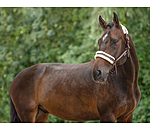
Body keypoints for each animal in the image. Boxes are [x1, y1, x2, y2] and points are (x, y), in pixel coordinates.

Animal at [9, 12, 141, 123]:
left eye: (114, 41)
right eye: (99, 41)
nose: (97, 73)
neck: (125, 84)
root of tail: (16, 78)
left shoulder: (127, 117)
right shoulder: (107, 116)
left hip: (41, 115)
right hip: (27, 115)